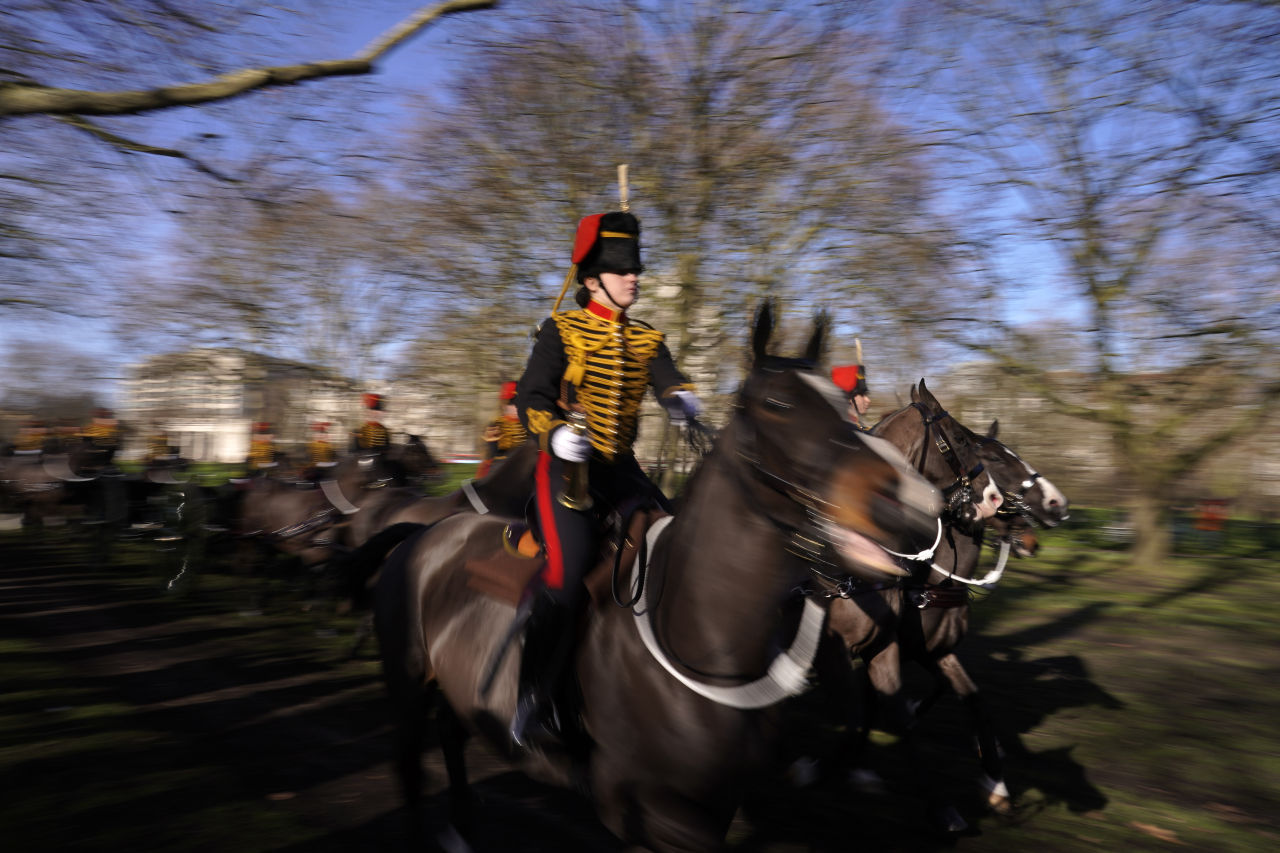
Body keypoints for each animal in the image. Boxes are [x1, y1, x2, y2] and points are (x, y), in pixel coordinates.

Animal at [355, 302, 947, 845]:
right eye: (777, 404)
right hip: (408, 685)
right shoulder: (643, 807)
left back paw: (460, 828)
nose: (908, 500)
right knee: (411, 766)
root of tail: (422, 535)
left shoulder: (718, 801)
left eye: (845, 407)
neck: (702, 636)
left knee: (451, 734)